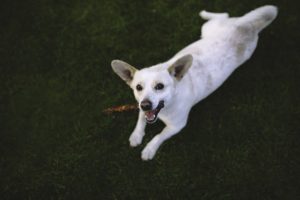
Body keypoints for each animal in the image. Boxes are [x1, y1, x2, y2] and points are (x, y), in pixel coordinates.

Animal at [111, 5, 278, 160]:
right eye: (138, 87)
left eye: (160, 86)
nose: (146, 105)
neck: (168, 106)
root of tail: (247, 25)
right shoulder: (141, 106)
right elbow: (140, 119)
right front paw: (136, 136)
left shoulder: (177, 126)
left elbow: (159, 135)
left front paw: (149, 149)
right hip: (208, 30)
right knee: (224, 15)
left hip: (215, 31)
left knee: (223, 14)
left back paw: (204, 13)